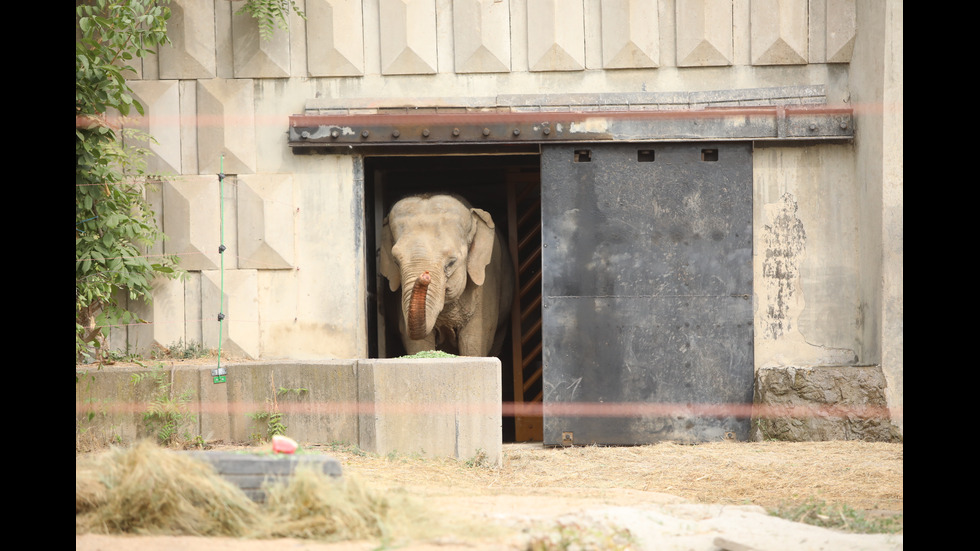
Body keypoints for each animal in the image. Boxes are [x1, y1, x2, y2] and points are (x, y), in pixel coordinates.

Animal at [378, 194, 516, 358]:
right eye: (396, 262)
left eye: (451, 262)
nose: (425, 276)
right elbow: (416, 342)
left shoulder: (487, 281)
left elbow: (474, 339)